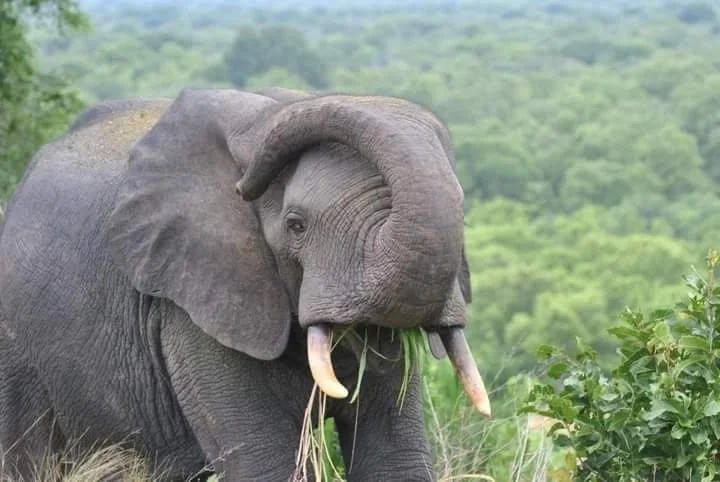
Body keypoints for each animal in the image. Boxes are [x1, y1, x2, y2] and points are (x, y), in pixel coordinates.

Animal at [0, 86, 490, 481]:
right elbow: (264, 460)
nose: (247, 181)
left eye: (463, 214)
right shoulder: (191, 304)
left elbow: (394, 458)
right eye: (296, 225)